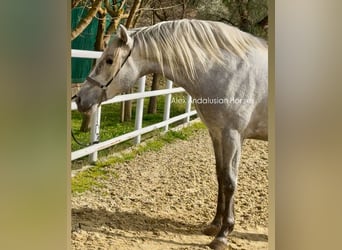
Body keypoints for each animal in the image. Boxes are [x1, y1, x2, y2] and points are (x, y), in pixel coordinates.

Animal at [74, 18, 268, 249]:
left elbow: (230, 182)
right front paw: (214, 225)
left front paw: (223, 234)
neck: (228, 71)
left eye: (109, 60)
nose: (79, 98)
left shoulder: (233, 135)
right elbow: (220, 176)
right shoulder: (217, 133)